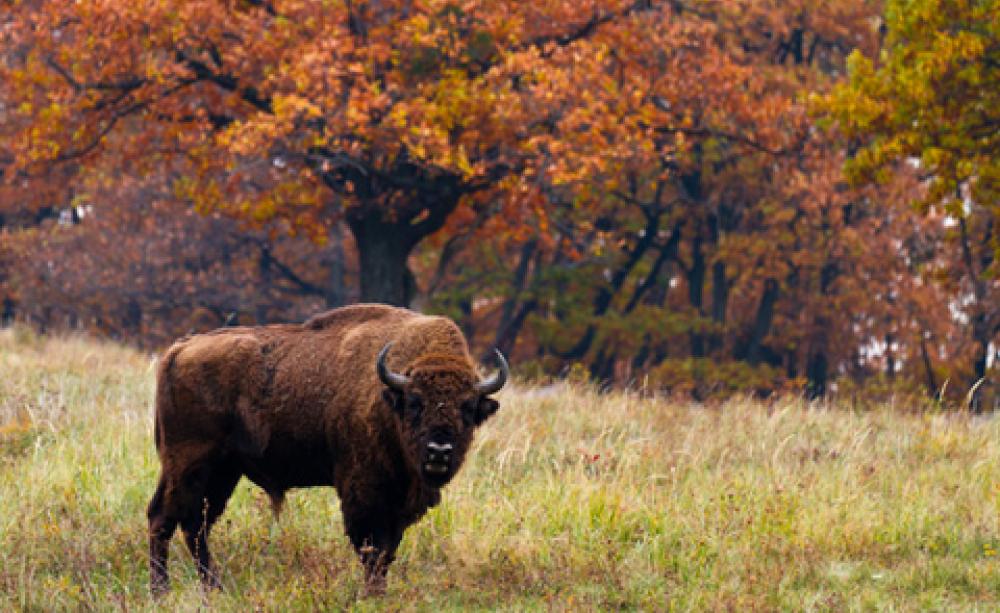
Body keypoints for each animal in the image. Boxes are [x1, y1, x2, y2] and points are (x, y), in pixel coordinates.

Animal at [146, 304, 508, 596]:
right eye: (415, 403)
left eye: (468, 407)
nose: (438, 451)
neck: (389, 398)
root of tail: (181, 348)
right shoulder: (364, 493)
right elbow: (372, 548)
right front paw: (372, 595)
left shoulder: (400, 504)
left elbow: (387, 550)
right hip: (190, 464)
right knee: (166, 518)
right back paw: (162, 591)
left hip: (222, 472)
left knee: (194, 524)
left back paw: (213, 588)